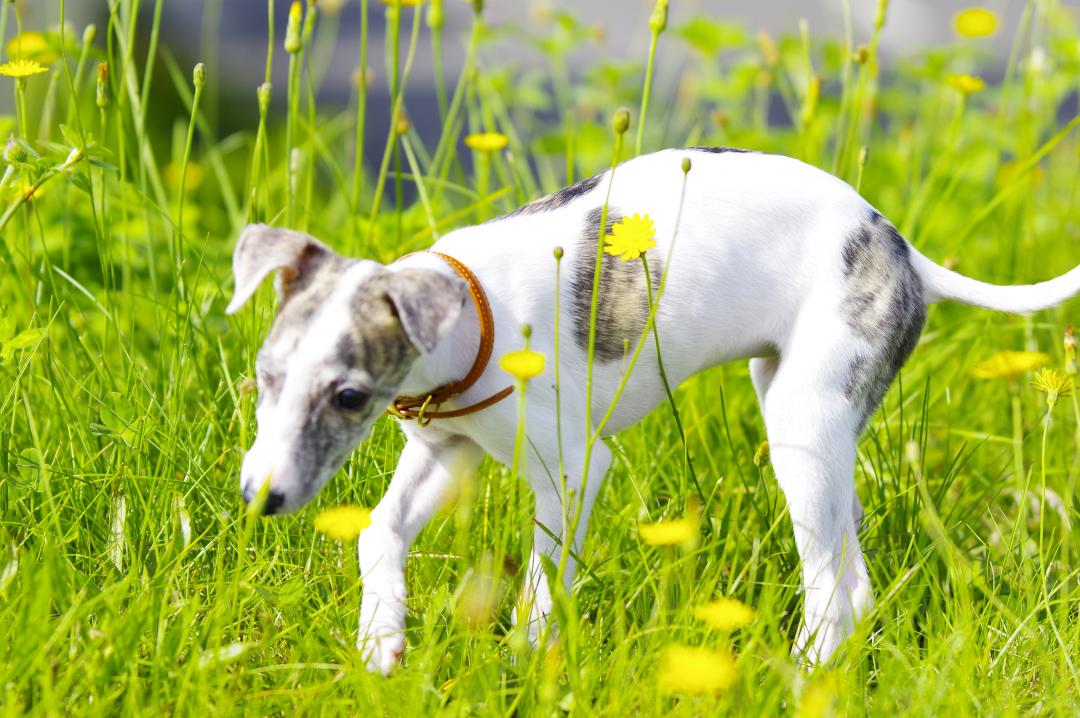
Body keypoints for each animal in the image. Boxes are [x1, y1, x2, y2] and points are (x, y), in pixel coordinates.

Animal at [227, 145, 1080, 673]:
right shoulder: (447, 448)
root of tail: (900, 247)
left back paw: (801, 673)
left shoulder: (574, 471)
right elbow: (379, 531)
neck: (471, 311)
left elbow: (542, 588)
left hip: (802, 426)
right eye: (265, 375)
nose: (259, 500)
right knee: (849, 562)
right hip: (808, 414)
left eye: (347, 396)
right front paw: (382, 642)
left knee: (834, 586)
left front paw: (525, 667)